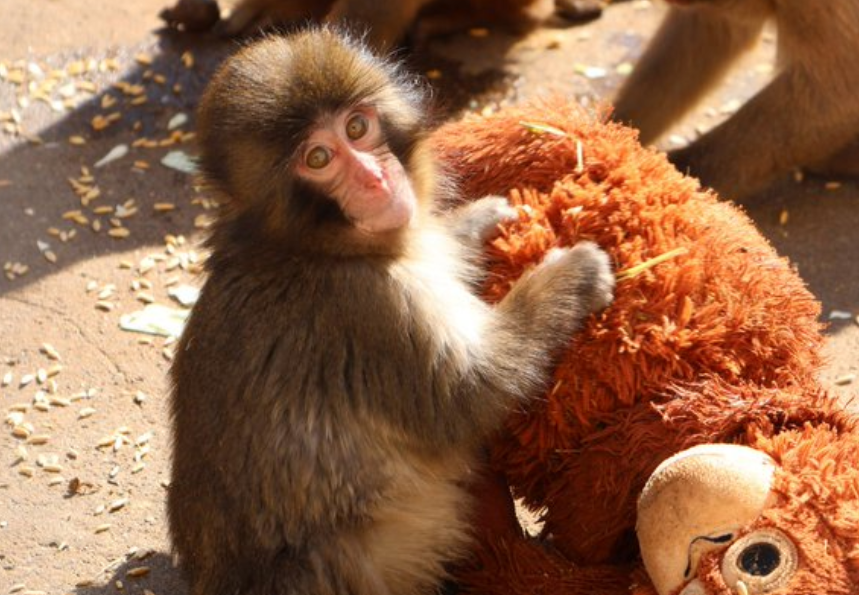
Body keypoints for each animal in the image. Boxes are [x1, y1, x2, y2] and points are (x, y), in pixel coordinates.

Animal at [167, 28, 615, 595]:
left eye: (357, 127)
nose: (375, 180)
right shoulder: (368, 308)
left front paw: (477, 221)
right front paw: (571, 275)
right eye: (318, 158)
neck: (311, 247)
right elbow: (469, 395)